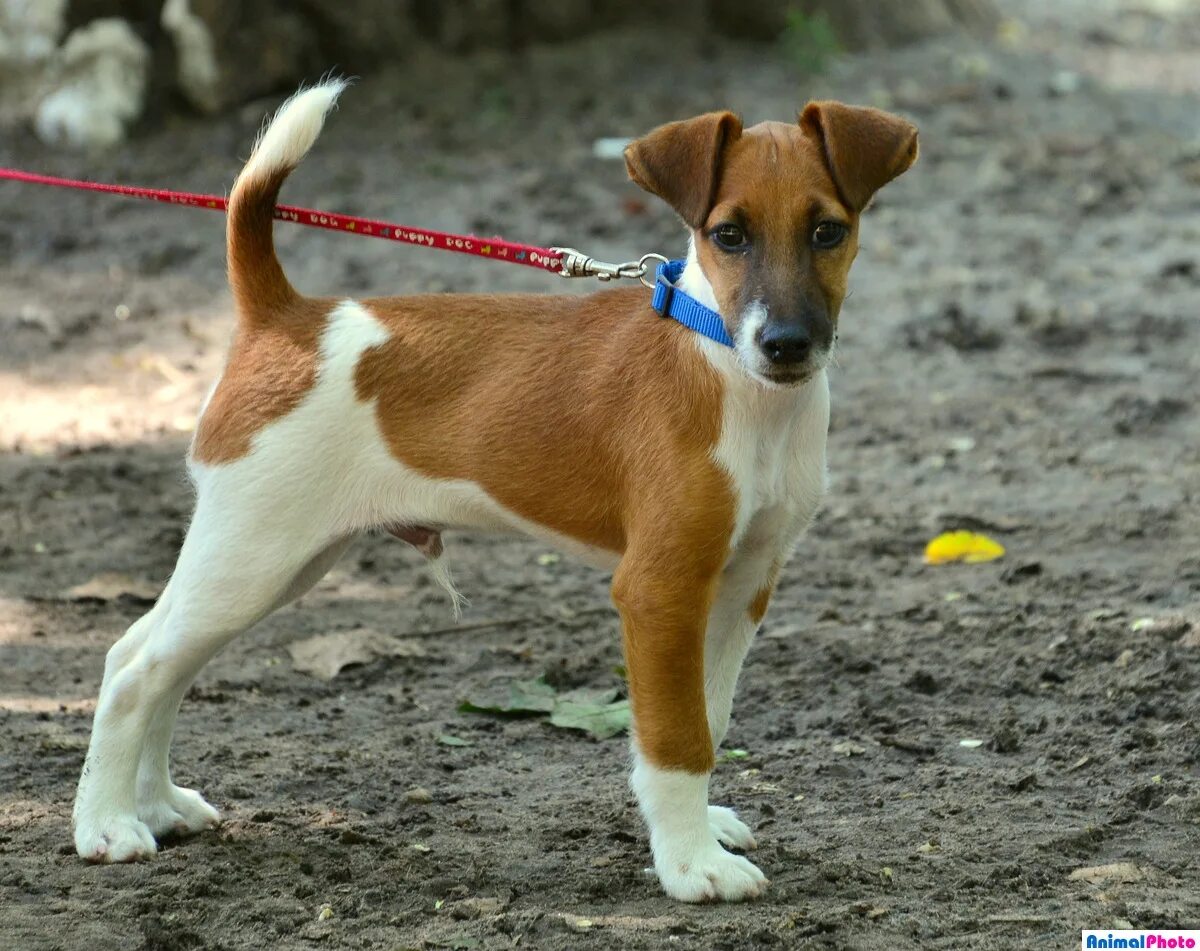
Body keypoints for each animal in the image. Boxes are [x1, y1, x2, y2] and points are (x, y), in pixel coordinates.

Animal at [72, 79, 916, 898]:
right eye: (730, 235)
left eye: (828, 231)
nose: (785, 344)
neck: (731, 376)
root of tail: (286, 317)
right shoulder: (661, 586)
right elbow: (675, 737)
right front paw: (690, 866)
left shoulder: (742, 584)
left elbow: (707, 716)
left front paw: (700, 831)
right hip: (253, 554)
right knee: (134, 669)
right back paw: (107, 825)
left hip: (274, 562)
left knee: (155, 659)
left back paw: (158, 804)